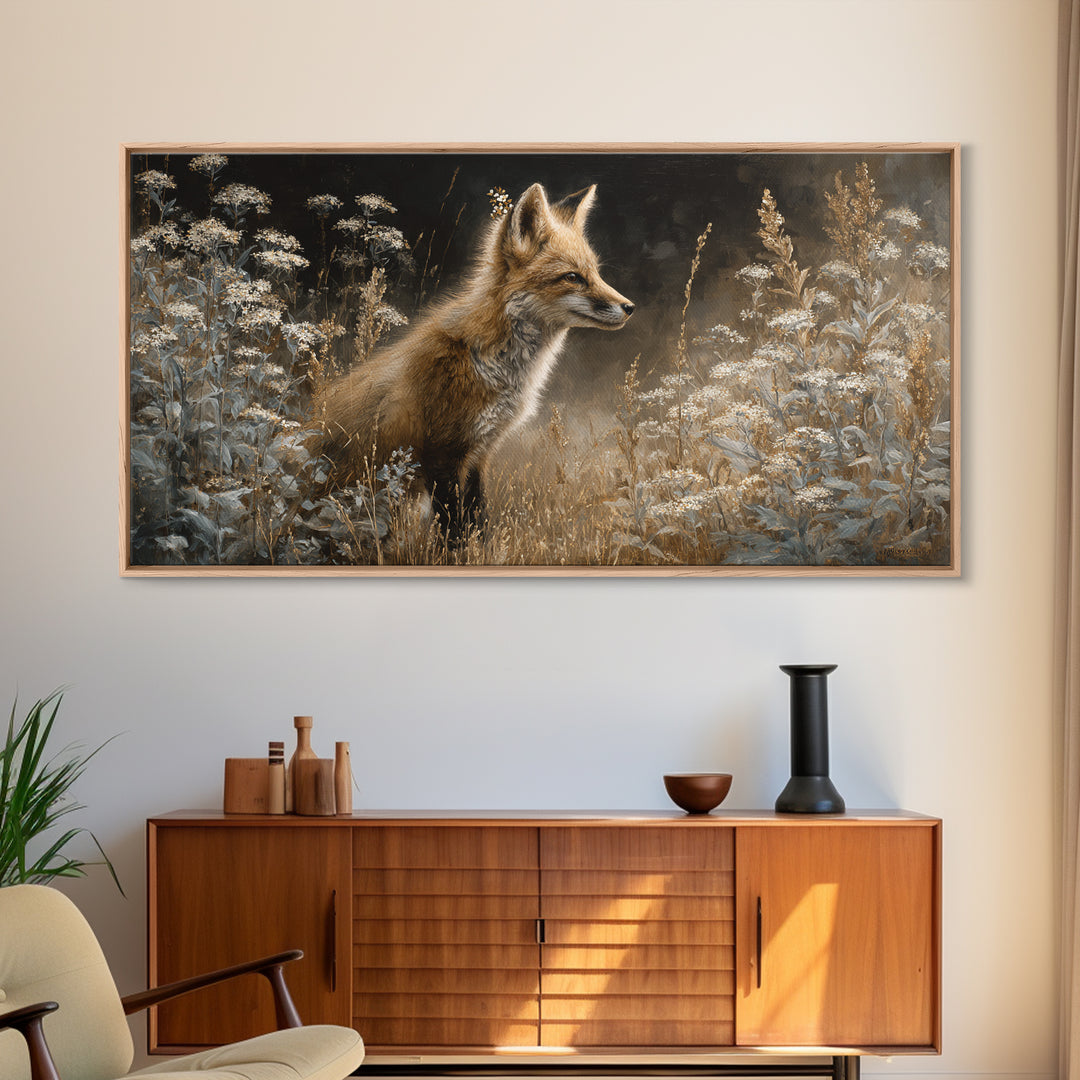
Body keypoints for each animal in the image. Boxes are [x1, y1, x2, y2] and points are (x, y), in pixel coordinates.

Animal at [311, 182, 634, 539]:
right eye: (573, 277)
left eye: (596, 273)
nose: (629, 307)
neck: (491, 364)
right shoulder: (441, 453)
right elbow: (454, 531)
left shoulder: (480, 452)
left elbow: (477, 520)